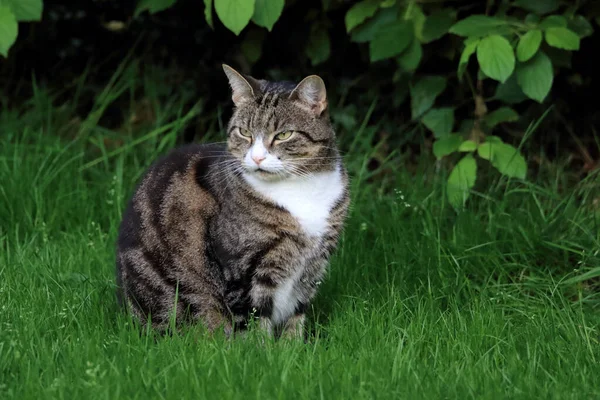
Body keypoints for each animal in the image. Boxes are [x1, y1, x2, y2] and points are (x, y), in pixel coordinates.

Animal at [115, 64, 350, 340]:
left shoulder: (314, 265)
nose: (257, 158)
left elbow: (296, 316)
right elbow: (254, 319)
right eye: (244, 132)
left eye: (284, 134)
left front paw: (291, 347)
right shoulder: (244, 267)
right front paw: (261, 350)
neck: (300, 189)